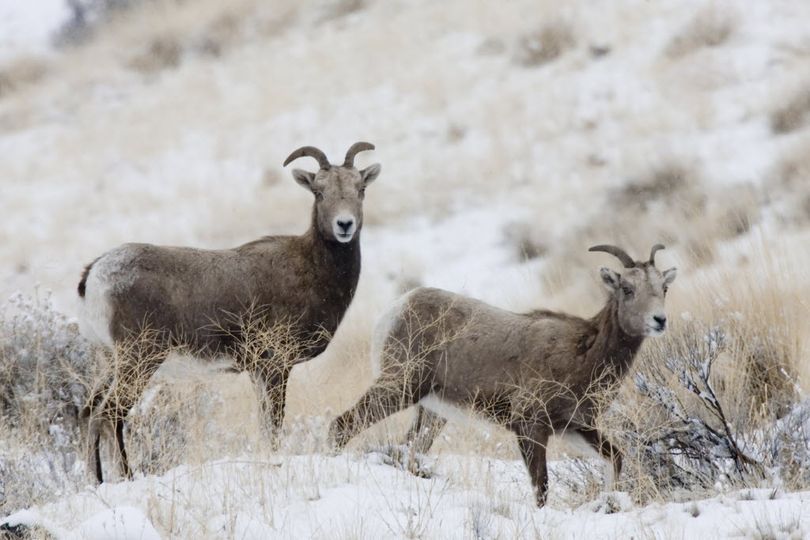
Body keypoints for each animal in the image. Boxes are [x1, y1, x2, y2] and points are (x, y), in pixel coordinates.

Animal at [77, 141, 380, 484]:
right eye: (319, 192)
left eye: (361, 189)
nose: (345, 225)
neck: (313, 271)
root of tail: (93, 275)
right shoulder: (275, 366)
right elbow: (274, 425)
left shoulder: (259, 372)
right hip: (138, 361)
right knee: (110, 413)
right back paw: (127, 477)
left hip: (109, 362)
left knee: (89, 412)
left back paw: (96, 481)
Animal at [328, 244, 676, 506]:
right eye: (627, 289)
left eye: (664, 288)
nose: (660, 320)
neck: (584, 353)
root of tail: (396, 310)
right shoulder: (530, 426)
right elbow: (541, 487)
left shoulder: (574, 427)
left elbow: (614, 459)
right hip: (400, 388)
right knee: (343, 425)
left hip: (431, 412)